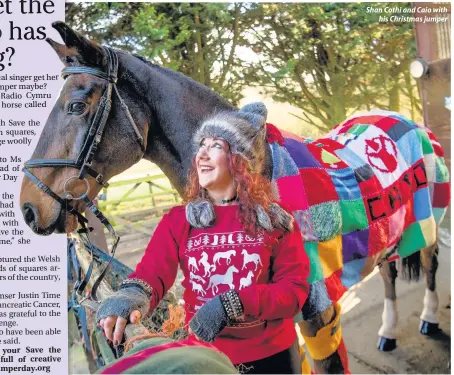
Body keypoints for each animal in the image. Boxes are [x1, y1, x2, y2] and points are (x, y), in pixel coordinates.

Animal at [19, 22, 448, 374]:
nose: (28, 208)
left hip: (427, 220)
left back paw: (428, 318)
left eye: (76, 105)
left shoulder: (319, 315)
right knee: (390, 273)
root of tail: (405, 119)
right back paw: (388, 332)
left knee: (428, 266)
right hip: (390, 232)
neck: (258, 176)